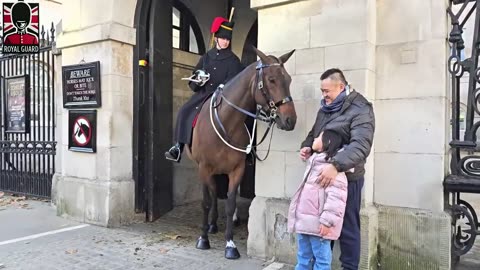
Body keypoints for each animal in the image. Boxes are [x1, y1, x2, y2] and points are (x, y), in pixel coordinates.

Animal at [185, 47, 294, 260]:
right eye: (271, 80)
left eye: (289, 79)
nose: (290, 119)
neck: (227, 122)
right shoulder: (203, 167)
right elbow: (206, 202)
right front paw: (203, 239)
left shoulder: (237, 169)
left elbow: (230, 203)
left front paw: (230, 244)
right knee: (212, 192)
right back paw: (209, 226)